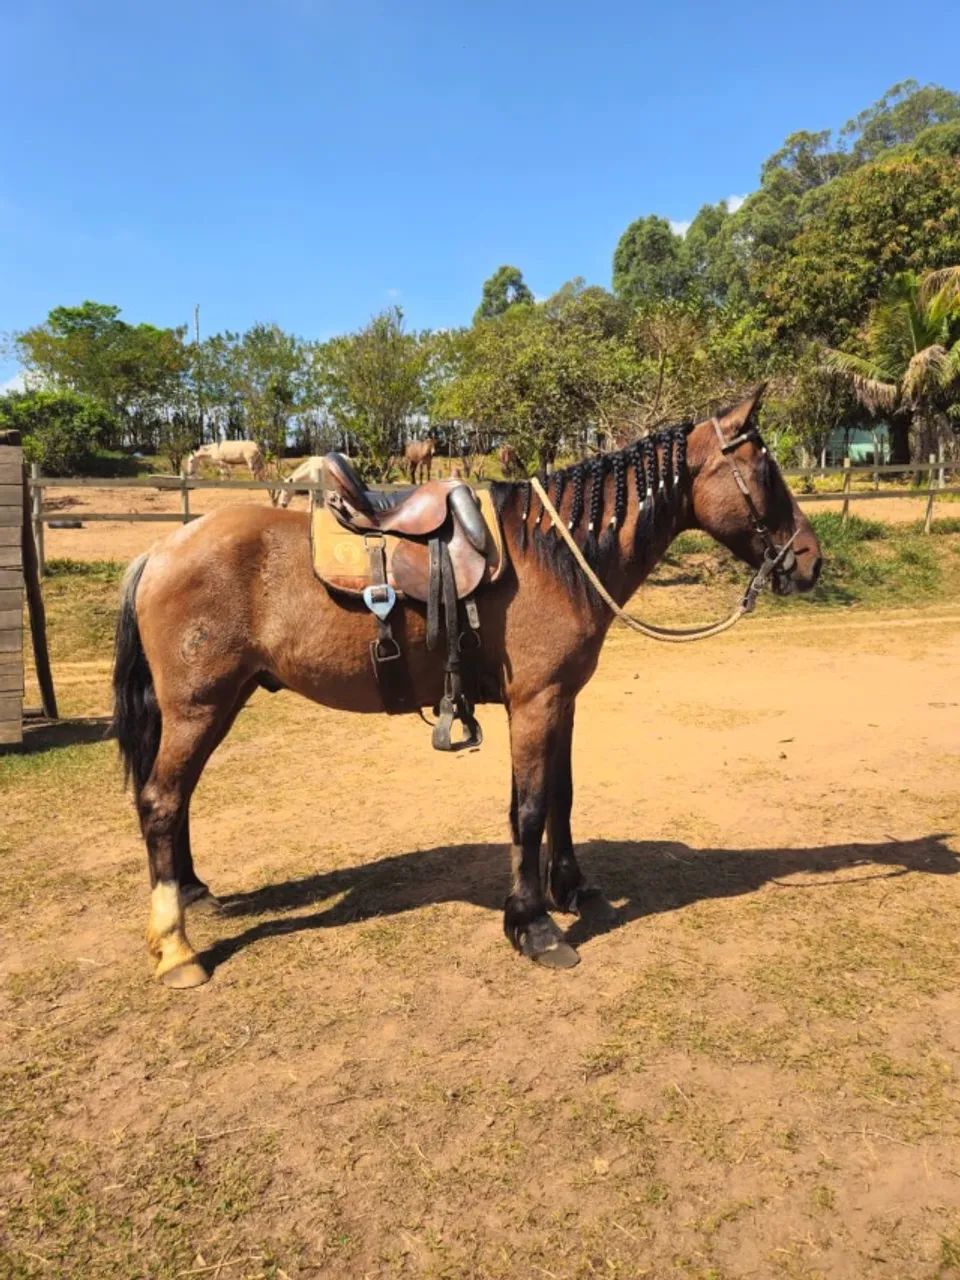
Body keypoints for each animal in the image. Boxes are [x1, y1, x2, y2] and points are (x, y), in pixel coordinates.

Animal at [112, 388, 821, 989]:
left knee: (176, 798)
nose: (812, 558)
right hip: (198, 708)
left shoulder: (562, 701)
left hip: (221, 703)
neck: (553, 556)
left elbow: (561, 797)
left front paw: (571, 888)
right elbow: (529, 809)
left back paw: (194, 892)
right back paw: (175, 947)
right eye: (765, 469)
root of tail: (160, 551)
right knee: (161, 801)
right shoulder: (535, 704)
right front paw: (533, 926)